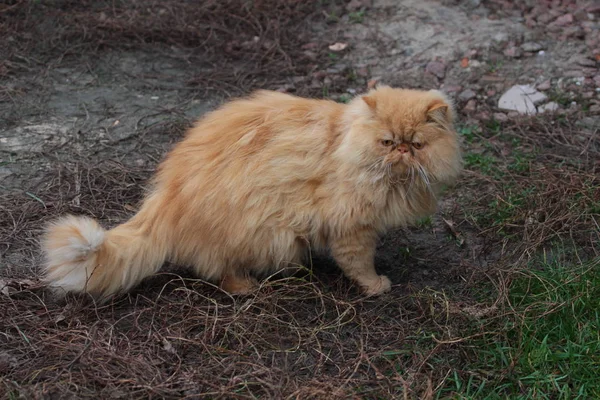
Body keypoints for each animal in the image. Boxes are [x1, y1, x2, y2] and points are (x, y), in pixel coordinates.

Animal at [42, 85, 462, 296]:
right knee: (219, 271)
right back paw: (247, 287)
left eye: (417, 145)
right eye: (388, 142)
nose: (402, 151)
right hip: (260, 233)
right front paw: (376, 286)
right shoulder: (352, 229)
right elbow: (359, 264)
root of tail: (165, 196)